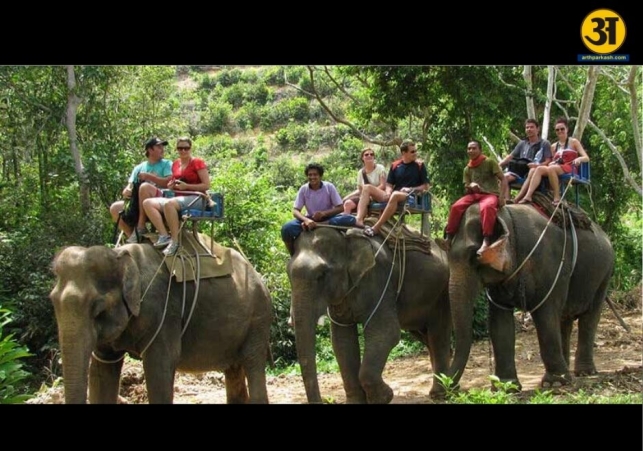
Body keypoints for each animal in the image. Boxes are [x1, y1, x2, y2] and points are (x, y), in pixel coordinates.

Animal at [49, 238, 273, 404]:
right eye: (52, 301)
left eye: (98, 309)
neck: (121, 256)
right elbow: (101, 369)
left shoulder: (163, 310)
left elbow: (160, 364)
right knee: (234, 369)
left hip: (258, 318)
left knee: (252, 362)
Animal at [287, 225, 452, 404]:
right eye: (288, 274)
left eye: (321, 275)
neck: (345, 238)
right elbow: (341, 341)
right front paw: (357, 402)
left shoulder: (379, 278)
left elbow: (386, 332)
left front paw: (385, 397)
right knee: (425, 336)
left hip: (441, 294)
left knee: (437, 335)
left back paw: (440, 394)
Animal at [443, 202, 614, 391]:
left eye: (475, 256)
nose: (450, 389)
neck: (507, 218)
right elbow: (499, 323)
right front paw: (506, 387)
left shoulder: (548, 264)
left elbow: (545, 316)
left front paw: (553, 383)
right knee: (564, 319)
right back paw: (568, 371)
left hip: (604, 274)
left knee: (589, 318)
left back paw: (584, 373)